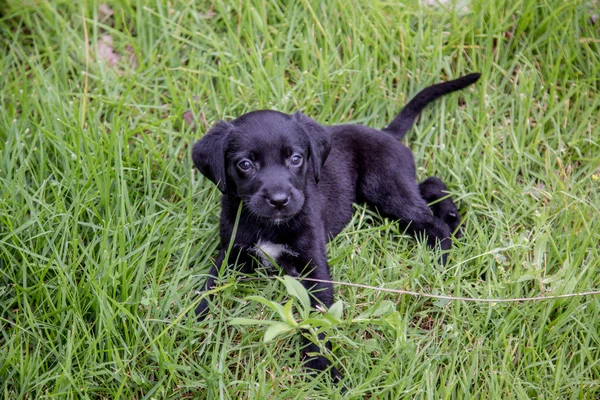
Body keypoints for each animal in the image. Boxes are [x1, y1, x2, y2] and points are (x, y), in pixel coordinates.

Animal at [195, 72, 480, 382]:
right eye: (245, 164)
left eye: (296, 158)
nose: (279, 200)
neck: (269, 225)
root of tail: (387, 134)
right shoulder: (230, 254)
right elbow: (207, 288)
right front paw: (190, 324)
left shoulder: (313, 264)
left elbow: (316, 315)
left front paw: (321, 366)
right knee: (429, 184)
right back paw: (452, 217)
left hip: (385, 188)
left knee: (432, 222)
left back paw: (441, 258)